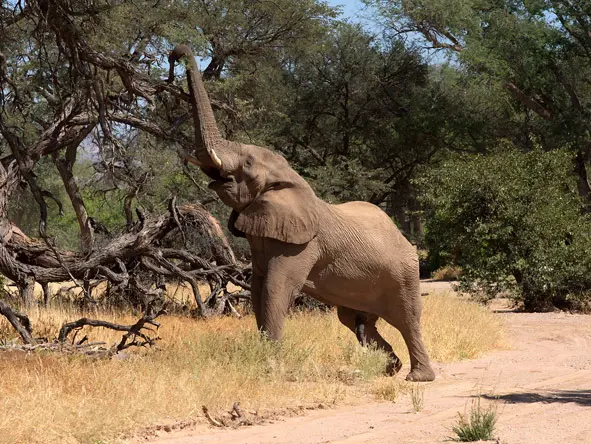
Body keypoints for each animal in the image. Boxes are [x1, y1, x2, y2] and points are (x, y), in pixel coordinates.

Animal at [166, 44, 434, 382]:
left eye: (248, 164)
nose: (174, 54)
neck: (289, 178)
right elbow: (257, 289)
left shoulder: (303, 245)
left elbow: (276, 289)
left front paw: (271, 368)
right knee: (356, 320)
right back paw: (388, 369)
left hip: (405, 273)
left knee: (407, 320)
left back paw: (417, 377)